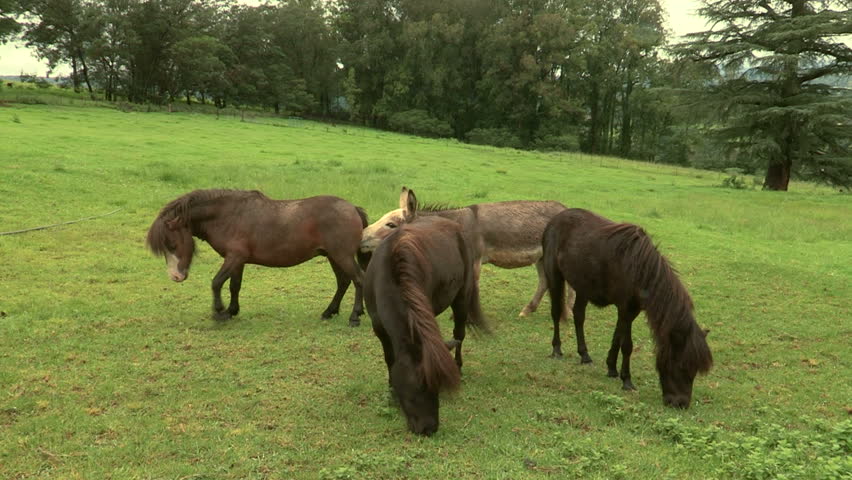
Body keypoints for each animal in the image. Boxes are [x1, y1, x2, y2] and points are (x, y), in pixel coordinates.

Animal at [146, 189, 370, 326]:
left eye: (172, 244)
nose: (175, 276)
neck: (229, 216)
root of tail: (353, 208)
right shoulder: (237, 261)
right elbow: (234, 286)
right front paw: (231, 311)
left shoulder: (234, 258)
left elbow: (216, 282)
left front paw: (219, 311)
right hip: (334, 256)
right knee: (343, 282)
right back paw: (329, 312)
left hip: (342, 256)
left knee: (359, 280)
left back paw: (354, 316)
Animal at [360, 187, 573, 319]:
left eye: (391, 225)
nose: (360, 236)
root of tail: (567, 208)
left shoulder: (474, 261)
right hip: (541, 257)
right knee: (544, 281)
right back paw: (528, 310)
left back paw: (568, 312)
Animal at [364, 215, 488, 436]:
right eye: (418, 386)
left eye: (438, 387)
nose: (429, 428)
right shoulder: (378, 327)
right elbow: (389, 359)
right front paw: (391, 392)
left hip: (461, 298)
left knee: (459, 334)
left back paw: (458, 366)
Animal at [542, 208, 713, 408]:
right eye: (682, 366)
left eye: (695, 370)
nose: (680, 404)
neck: (639, 269)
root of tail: (555, 219)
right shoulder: (625, 308)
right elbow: (627, 345)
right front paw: (627, 380)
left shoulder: (630, 311)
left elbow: (617, 337)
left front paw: (611, 368)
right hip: (554, 276)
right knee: (556, 313)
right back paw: (556, 350)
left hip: (583, 286)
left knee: (579, 316)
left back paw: (585, 355)